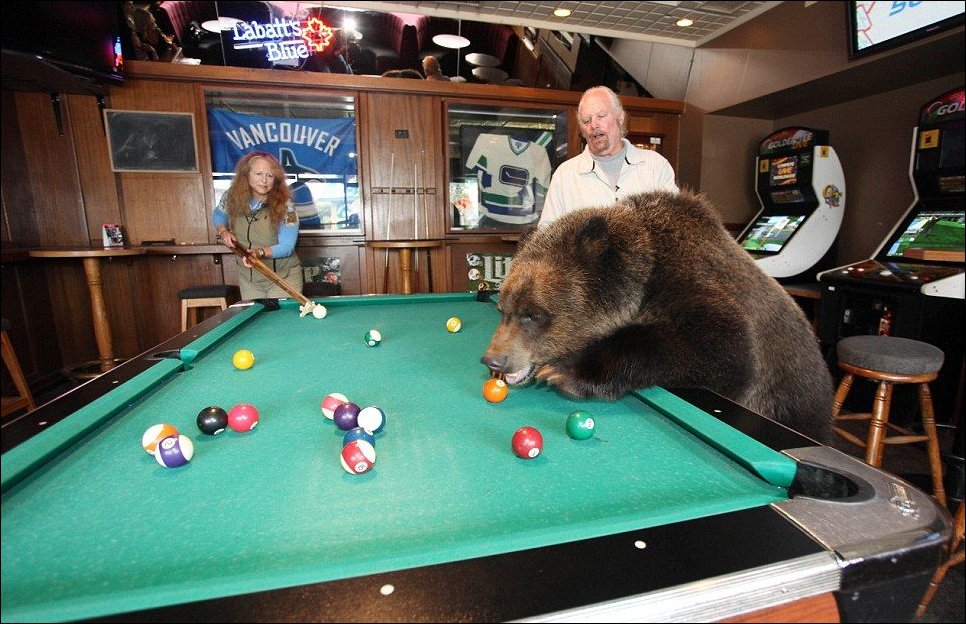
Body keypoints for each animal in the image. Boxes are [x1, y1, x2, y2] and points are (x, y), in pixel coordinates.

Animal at [480, 188, 836, 442]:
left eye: (532, 314)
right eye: (503, 308)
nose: (493, 359)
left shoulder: (696, 293)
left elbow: (722, 353)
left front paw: (566, 372)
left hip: (794, 398)